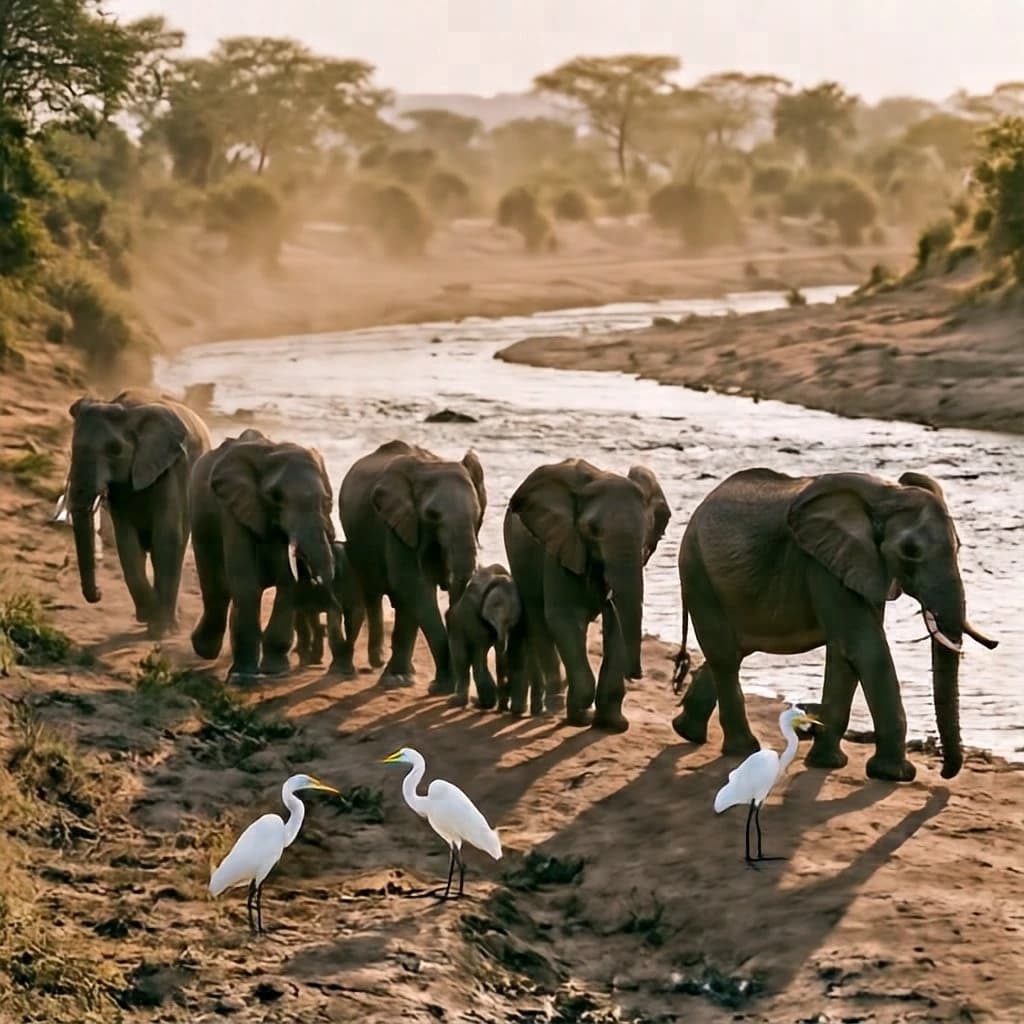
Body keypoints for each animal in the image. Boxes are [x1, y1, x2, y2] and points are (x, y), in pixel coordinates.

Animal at [62, 388, 211, 637]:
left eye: (115, 450)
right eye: (72, 449)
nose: (99, 593)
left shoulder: (170, 469)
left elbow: (167, 536)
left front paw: (159, 628)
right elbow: (127, 542)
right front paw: (149, 616)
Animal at [190, 428, 337, 681]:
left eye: (327, 501)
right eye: (275, 497)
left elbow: (288, 584)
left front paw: (275, 671)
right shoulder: (233, 508)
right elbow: (245, 583)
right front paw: (245, 677)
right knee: (217, 590)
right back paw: (204, 650)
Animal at [339, 440, 486, 692]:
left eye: (477, 512)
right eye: (432, 515)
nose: (450, 613)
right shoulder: (398, 525)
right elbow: (412, 584)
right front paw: (436, 687)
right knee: (374, 592)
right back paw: (382, 667)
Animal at [503, 459, 671, 732]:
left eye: (646, 532)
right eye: (592, 530)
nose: (636, 674)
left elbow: (614, 623)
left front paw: (613, 724)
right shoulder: (561, 546)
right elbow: (564, 617)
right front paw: (581, 716)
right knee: (538, 616)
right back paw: (554, 707)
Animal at [671, 468, 998, 782]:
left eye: (959, 547)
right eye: (910, 551)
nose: (945, 772)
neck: (887, 495)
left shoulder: (859, 566)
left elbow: (845, 653)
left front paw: (827, 762)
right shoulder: (823, 564)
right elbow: (865, 648)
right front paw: (894, 775)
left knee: (732, 652)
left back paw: (686, 731)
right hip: (697, 571)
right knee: (725, 656)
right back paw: (743, 749)